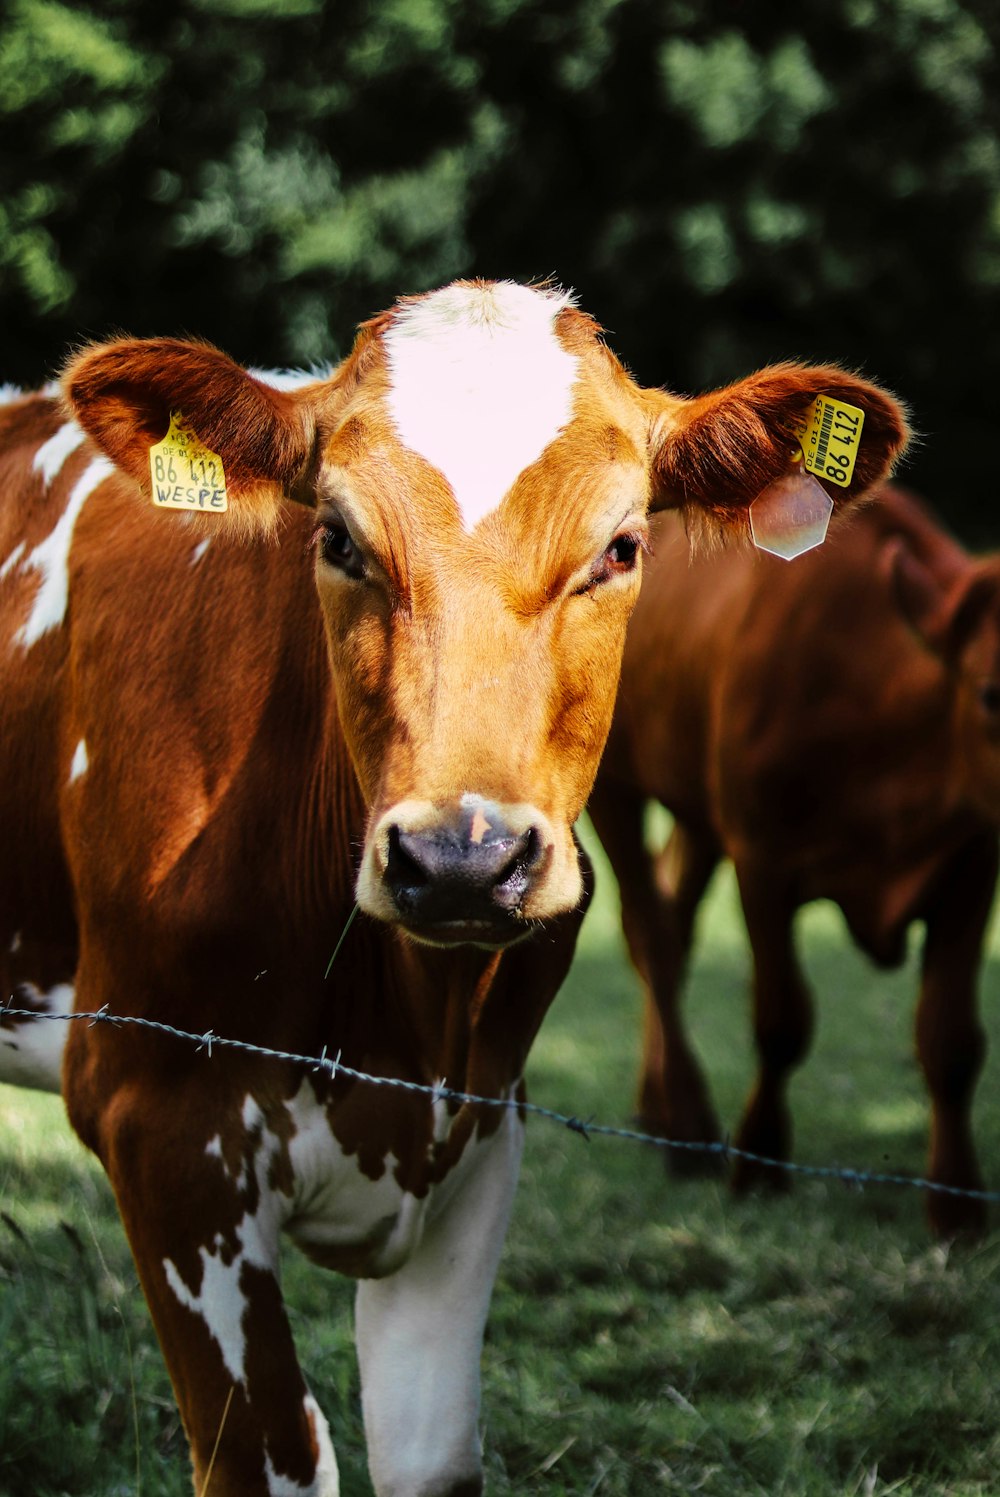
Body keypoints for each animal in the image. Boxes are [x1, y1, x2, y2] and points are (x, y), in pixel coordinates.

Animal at [0, 282, 904, 1497]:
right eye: (336, 538)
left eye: (621, 546)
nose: (461, 859)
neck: (396, 1028)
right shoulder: (160, 1123)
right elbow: (271, 1457)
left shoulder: (480, 1133)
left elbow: (430, 1456)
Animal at [589, 485, 994, 1233]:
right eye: (991, 695)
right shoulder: (763, 860)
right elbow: (781, 1020)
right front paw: (759, 1160)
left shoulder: (972, 864)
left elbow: (951, 1040)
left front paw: (957, 1202)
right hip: (616, 786)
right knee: (650, 935)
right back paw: (687, 1126)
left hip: (696, 807)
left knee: (673, 917)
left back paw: (656, 1105)